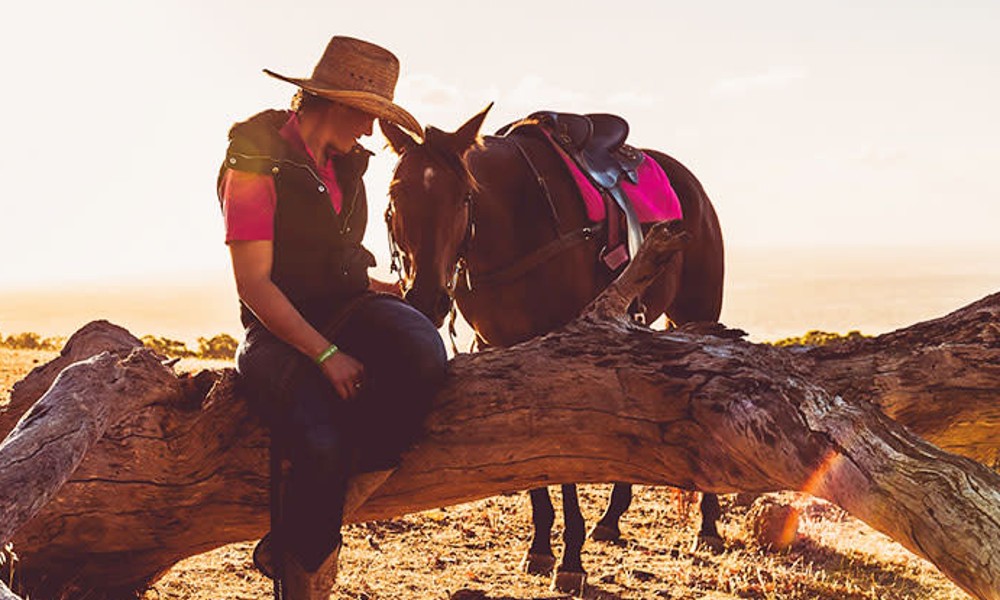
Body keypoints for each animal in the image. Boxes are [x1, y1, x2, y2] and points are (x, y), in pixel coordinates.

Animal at [378, 105, 724, 592]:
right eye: (396, 193)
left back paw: (708, 527)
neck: (514, 227)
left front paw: (571, 561)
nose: (427, 297)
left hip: (701, 312)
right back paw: (611, 519)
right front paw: (541, 547)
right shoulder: (504, 348)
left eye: (464, 196)